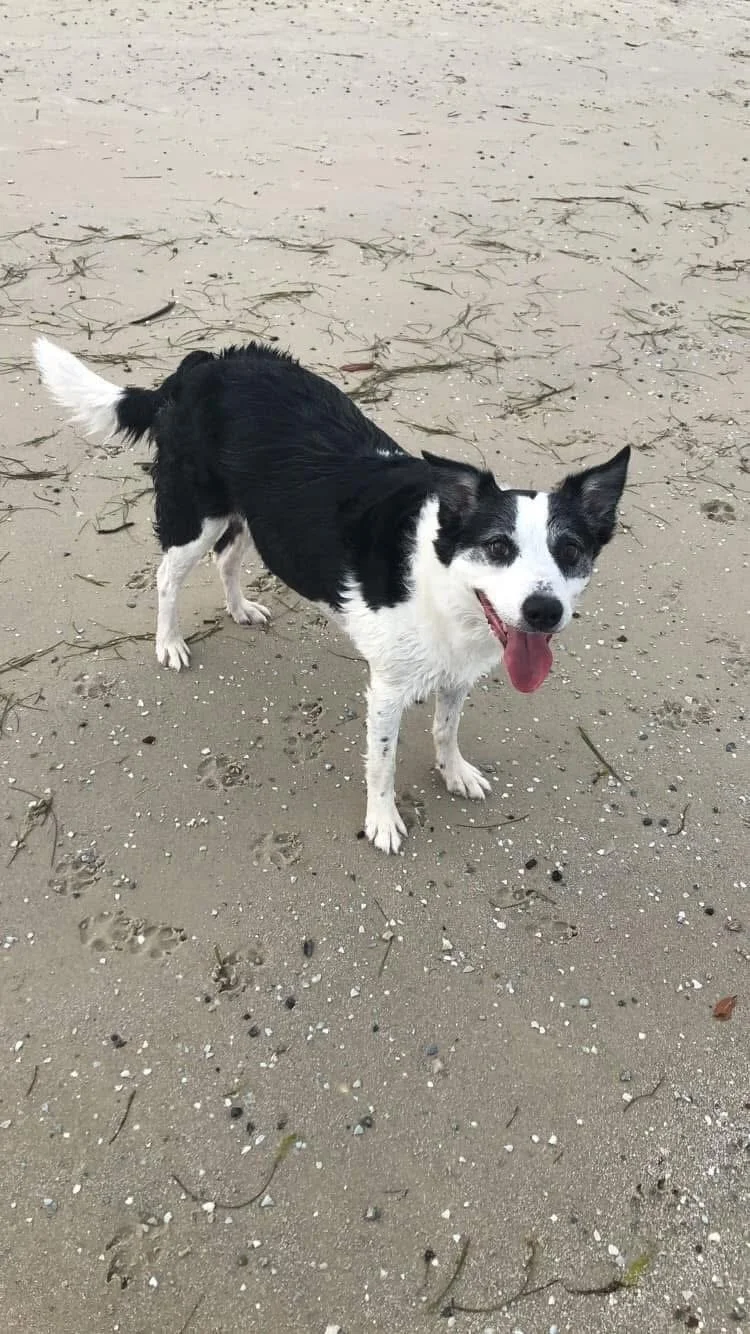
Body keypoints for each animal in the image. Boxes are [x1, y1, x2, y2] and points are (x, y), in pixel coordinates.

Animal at [33, 337, 629, 853]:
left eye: (571, 550)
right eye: (498, 546)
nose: (544, 612)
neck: (443, 580)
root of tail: (202, 365)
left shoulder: (457, 670)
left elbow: (446, 727)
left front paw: (454, 772)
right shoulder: (388, 687)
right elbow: (383, 763)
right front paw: (382, 821)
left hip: (258, 516)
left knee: (227, 559)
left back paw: (240, 609)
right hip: (197, 513)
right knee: (166, 578)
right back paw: (169, 643)